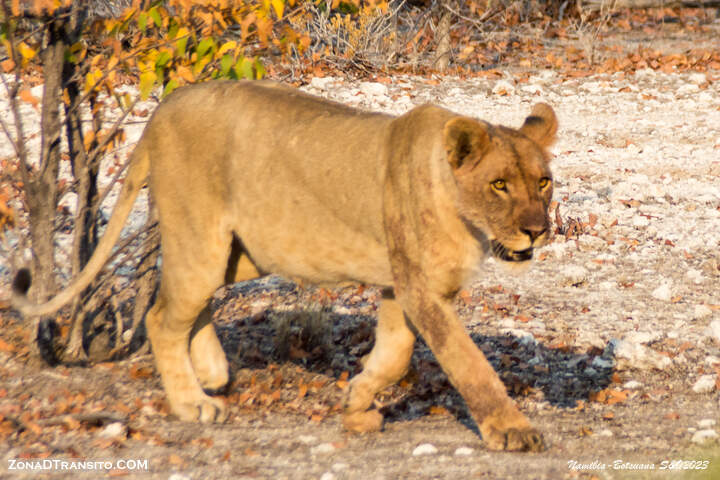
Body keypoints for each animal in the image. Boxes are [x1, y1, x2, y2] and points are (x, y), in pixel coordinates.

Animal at [14, 80, 560, 452]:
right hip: (202, 237)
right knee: (161, 315)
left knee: (189, 303)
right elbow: (468, 362)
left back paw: (211, 369)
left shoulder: (400, 287)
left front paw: (356, 405)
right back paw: (193, 402)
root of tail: (165, 107)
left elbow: (395, 355)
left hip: (245, 253)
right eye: (499, 185)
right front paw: (512, 430)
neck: (468, 218)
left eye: (543, 182)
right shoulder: (419, 287)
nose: (537, 230)